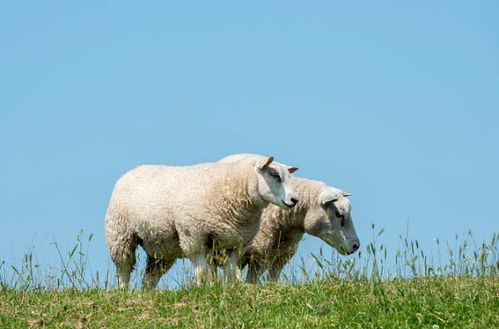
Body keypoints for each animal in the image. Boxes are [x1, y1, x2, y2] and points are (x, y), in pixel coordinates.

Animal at [104, 156, 298, 288]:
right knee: (123, 268)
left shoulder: (234, 243)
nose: (294, 200)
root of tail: (133, 170)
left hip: (162, 247)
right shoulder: (194, 236)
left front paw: (229, 288)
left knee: (150, 277)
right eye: (275, 175)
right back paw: (123, 291)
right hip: (121, 234)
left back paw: (147, 293)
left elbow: (230, 272)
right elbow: (203, 271)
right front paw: (205, 288)